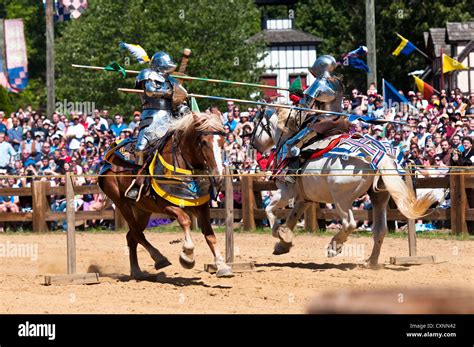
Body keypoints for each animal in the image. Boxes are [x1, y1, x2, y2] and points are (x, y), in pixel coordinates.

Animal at [99, 114, 233, 280]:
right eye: (203, 142)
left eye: (222, 143)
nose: (218, 178)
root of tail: (107, 163)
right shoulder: (167, 205)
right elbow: (185, 220)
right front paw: (187, 256)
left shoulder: (201, 207)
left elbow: (210, 235)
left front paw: (222, 265)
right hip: (122, 203)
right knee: (136, 233)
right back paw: (159, 258)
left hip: (143, 210)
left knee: (132, 236)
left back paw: (136, 271)